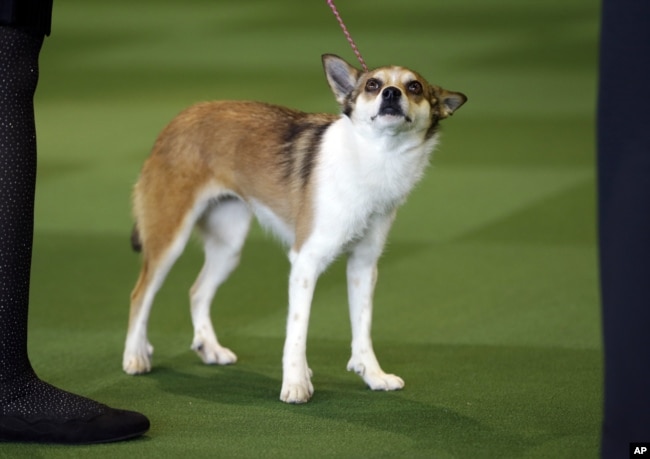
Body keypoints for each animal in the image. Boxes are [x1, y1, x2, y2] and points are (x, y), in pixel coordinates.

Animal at [121, 55, 466, 404]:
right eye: (373, 84)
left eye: (415, 87)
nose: (392, 93)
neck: (375, 157)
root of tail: (179, 119)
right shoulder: (305, 261)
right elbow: (297, 332)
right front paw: (297, 382)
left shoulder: (364, 265)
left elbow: (363, 327)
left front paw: (373, 375)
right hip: (169, 239)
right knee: (140, 295)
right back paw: (135, 356)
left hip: (228, 247)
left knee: (197, 291)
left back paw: (210, 348)